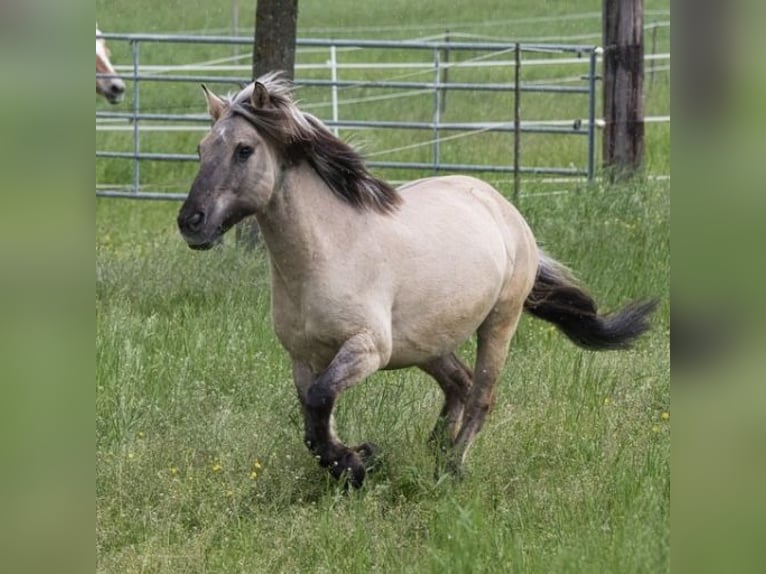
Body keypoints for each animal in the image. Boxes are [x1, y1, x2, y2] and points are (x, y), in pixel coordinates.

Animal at [177, 72, 657, 488]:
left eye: (244, 150)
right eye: (201, 149)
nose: (190, 223)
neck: (325, 255)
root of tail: (501, 206)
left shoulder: (367, 348)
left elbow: (319, 404)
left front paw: (358, 461)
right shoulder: (304, 358)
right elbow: (316, 420)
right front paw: (355, 462)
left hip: (498, 322)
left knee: (481, 394)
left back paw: (451, 467)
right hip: (426, 342)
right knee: (459, 383)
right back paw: (436, 447)